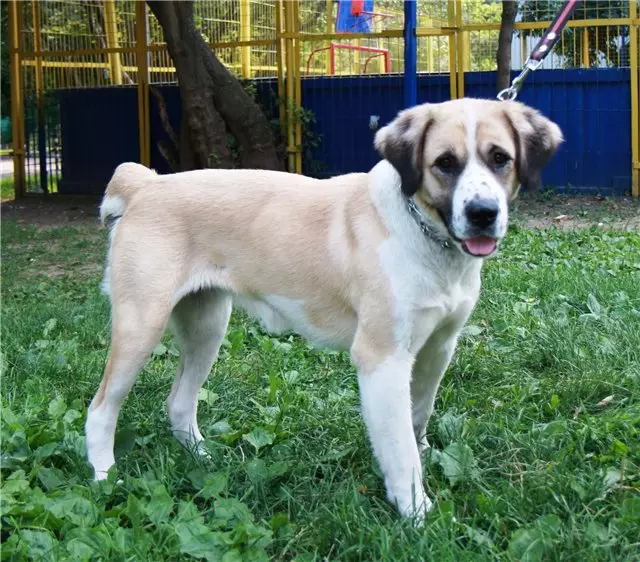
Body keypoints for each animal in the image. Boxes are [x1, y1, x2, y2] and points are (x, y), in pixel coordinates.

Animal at [85, 96, 560, 520]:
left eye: (500, 158)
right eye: (444, 162)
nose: (483, 213)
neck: (424, 234)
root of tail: (146, 184)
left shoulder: (438, 347)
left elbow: (418, 415)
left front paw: (426, 458)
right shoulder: (381, 360)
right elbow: (400, 448)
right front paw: (415, 511)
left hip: (207, 327)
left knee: (180, 402)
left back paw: (204, 459)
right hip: (141, 327)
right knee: (101, 409)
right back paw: (106, 478)